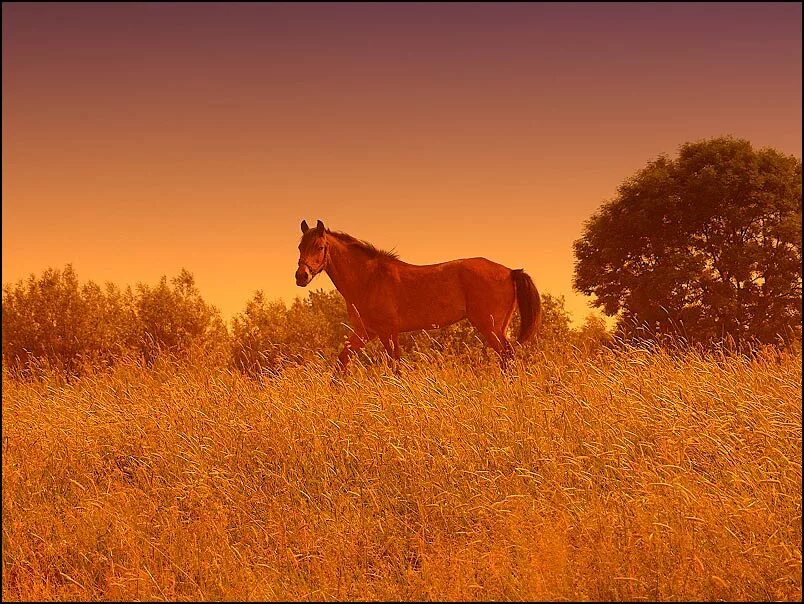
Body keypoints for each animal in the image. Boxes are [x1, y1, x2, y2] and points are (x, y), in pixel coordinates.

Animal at [294, 219, 540, 370]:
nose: (301, 276)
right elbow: (341, 361)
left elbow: (395, 367)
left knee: (507, 356)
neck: (368, 278)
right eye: (300, 247)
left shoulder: (387, 332)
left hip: (490, 327)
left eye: (319, 246)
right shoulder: (365, 332)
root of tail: (510, 271)